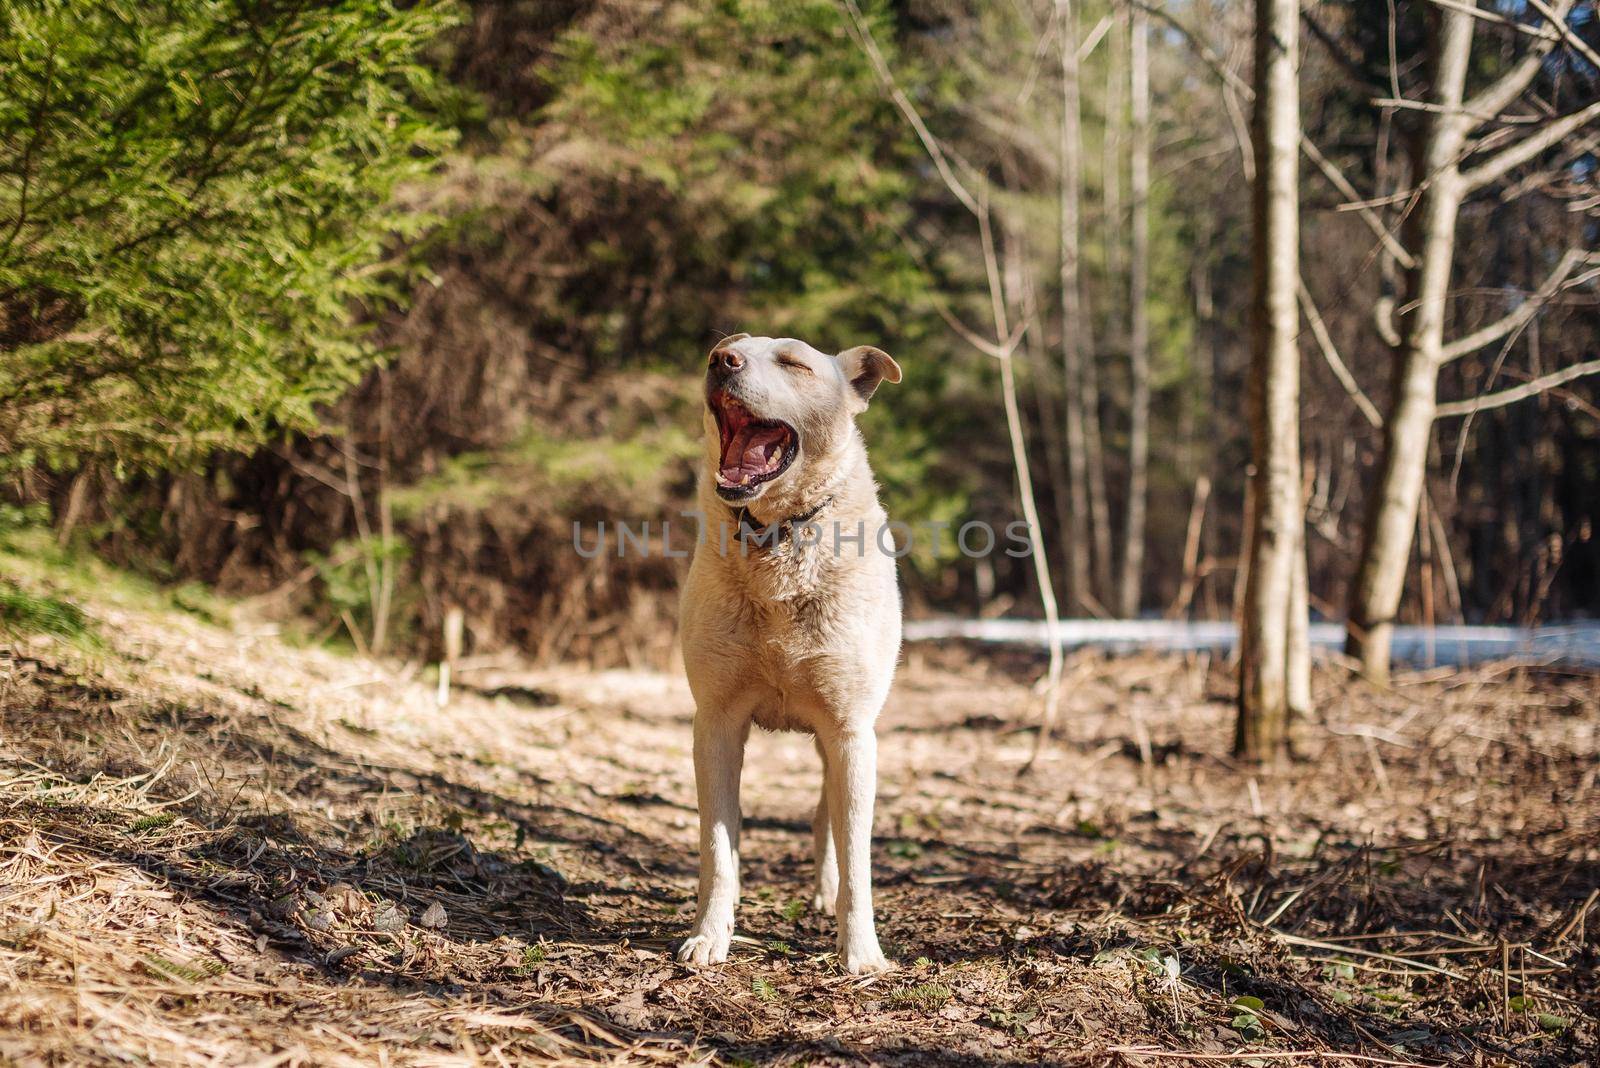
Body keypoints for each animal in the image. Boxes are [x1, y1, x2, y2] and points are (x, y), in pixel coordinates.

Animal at [672, 334, 902, 978]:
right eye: (726, 347)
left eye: (795, 363)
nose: (720, 361)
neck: (777, 535)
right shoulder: (717, 722)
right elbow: (718, 846)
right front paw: (710, 937)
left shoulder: (850, 730)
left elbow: (857, 860)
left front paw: (861, 952)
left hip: (840, 742)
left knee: (830, 822)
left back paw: (826, 894)